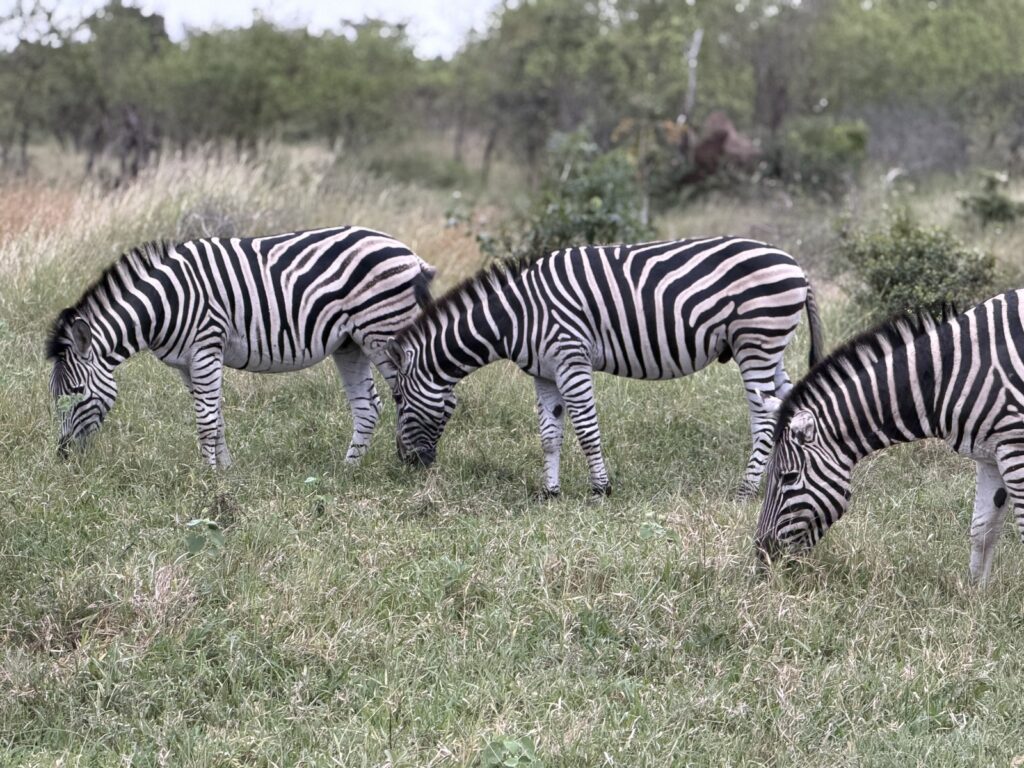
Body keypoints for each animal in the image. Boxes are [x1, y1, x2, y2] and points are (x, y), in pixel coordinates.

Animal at [46, 226, 435, 466]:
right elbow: (214, 415)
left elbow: (205, 419)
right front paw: (225, 472)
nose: (63, 455)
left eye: (76, 392)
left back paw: (411, 461)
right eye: (55, 396)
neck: (165, 303)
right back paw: (348, 469)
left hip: (383, 330)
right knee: (368, 406)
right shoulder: (188, 363)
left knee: (413, 391)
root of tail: (409, 254)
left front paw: (205, 477)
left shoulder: (206, 348)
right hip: (351, 343)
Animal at [384, 237, 824, 497]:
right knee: (788, 407)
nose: (405, 463)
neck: (515, 317)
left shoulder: (571, 358)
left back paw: (746, 490)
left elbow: (586, 430)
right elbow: (550, 435)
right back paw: (777, 477)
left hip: (756, 341)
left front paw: (600, 488)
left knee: (763, 417)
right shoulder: (544, 373)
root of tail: (796, 266)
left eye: (398, 398)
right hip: (771, 348)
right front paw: (550, 492)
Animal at [755, 292, 1024, 583]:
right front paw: (975, 593)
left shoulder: (1014, 446)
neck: (948, 376)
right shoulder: (989, 455)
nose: (762, 557)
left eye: (788, 477)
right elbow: (982, 531)